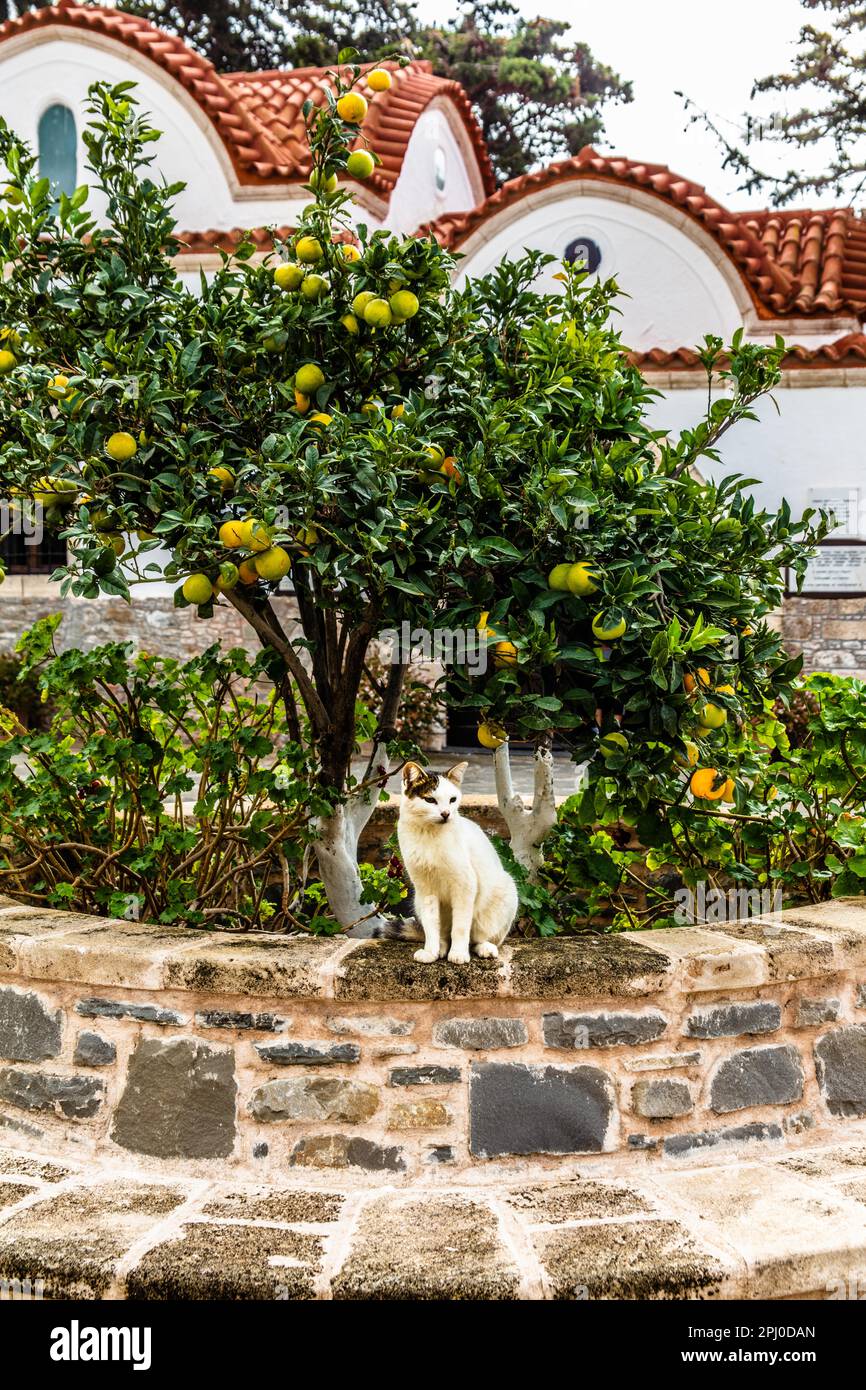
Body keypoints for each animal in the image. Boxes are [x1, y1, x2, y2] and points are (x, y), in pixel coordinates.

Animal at [397, 761, 517, 967]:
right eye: (430, 800)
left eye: (453, 799)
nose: (446, 814)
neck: (429, 834)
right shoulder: (426, 889)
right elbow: (431, 925)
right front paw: (431, 951)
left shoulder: (464, 885)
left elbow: (460, 927)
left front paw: (458, 953)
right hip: (418, 900)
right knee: (444, 933)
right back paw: (441, 947)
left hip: (506, 894)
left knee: (477, 938)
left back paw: (484, 948)